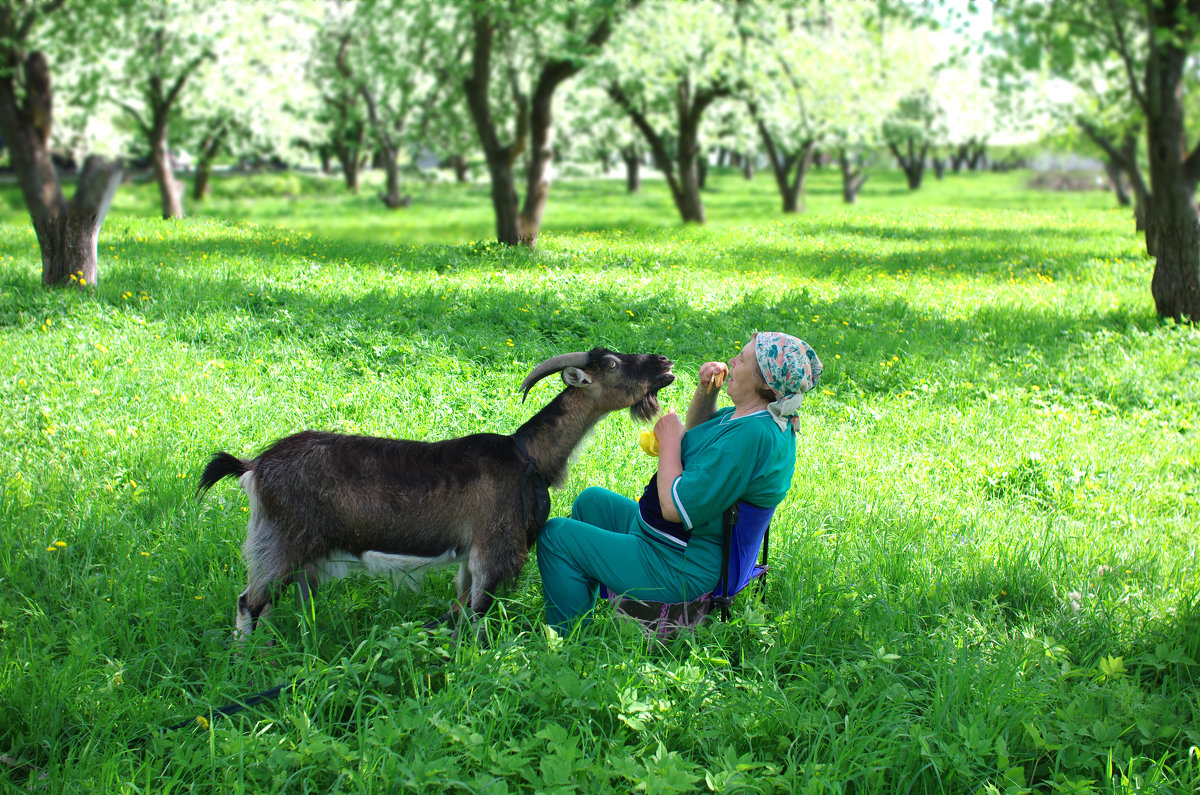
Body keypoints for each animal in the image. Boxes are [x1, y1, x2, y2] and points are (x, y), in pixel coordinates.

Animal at [201, 348, 681, 643]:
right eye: (614, 363)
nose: (665, 362)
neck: (526, 455)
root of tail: (253, 467)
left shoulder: (470, 557)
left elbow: (463, 608)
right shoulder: (492, 548)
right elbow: (478, 613)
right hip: (279, 544)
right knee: (249, 603)